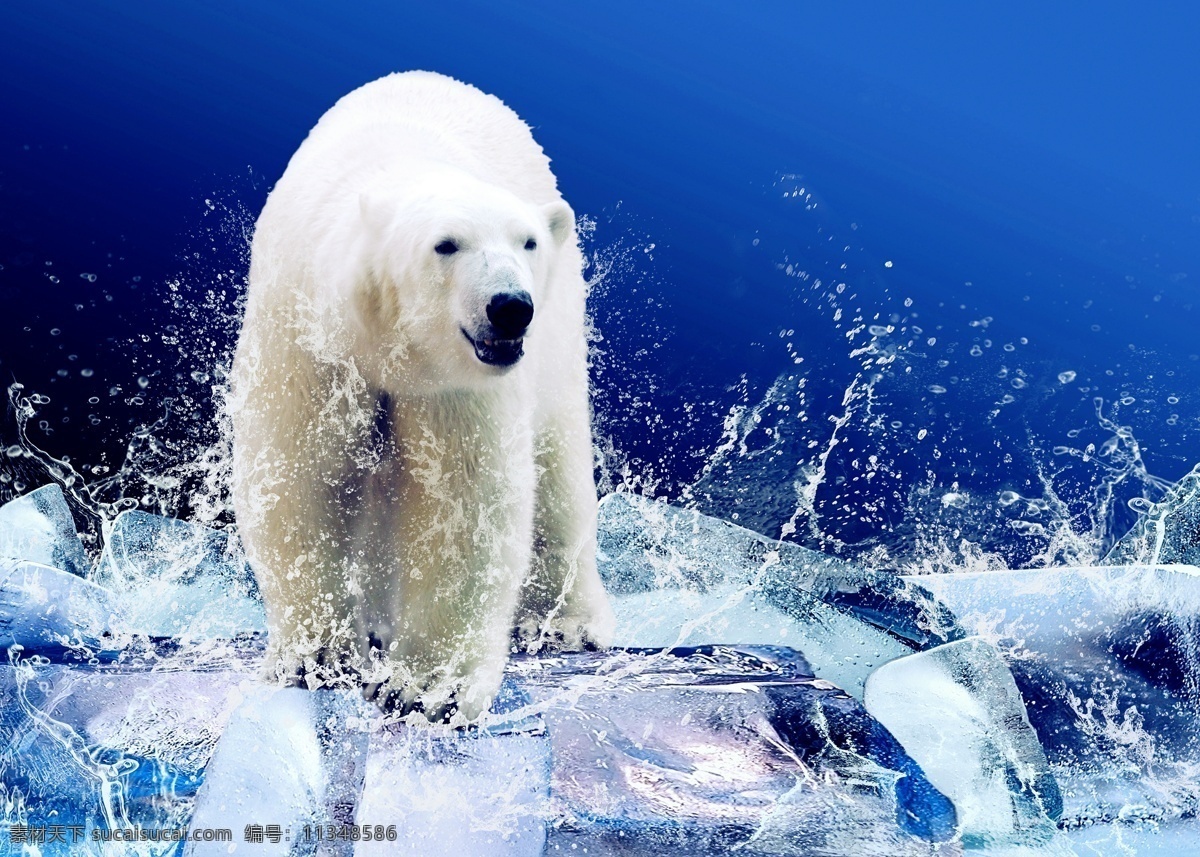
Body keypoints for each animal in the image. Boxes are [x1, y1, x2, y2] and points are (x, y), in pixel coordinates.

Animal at [228, 70, 614, 715]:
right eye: (446, 244)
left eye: (528, 242)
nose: (510, 308)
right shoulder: (307, 337)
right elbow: (299, 475)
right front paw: (318, 657)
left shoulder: (456, 385)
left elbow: (461, 502)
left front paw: (427, 688)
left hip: (560, 339)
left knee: (558, 469)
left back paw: (566, 622)